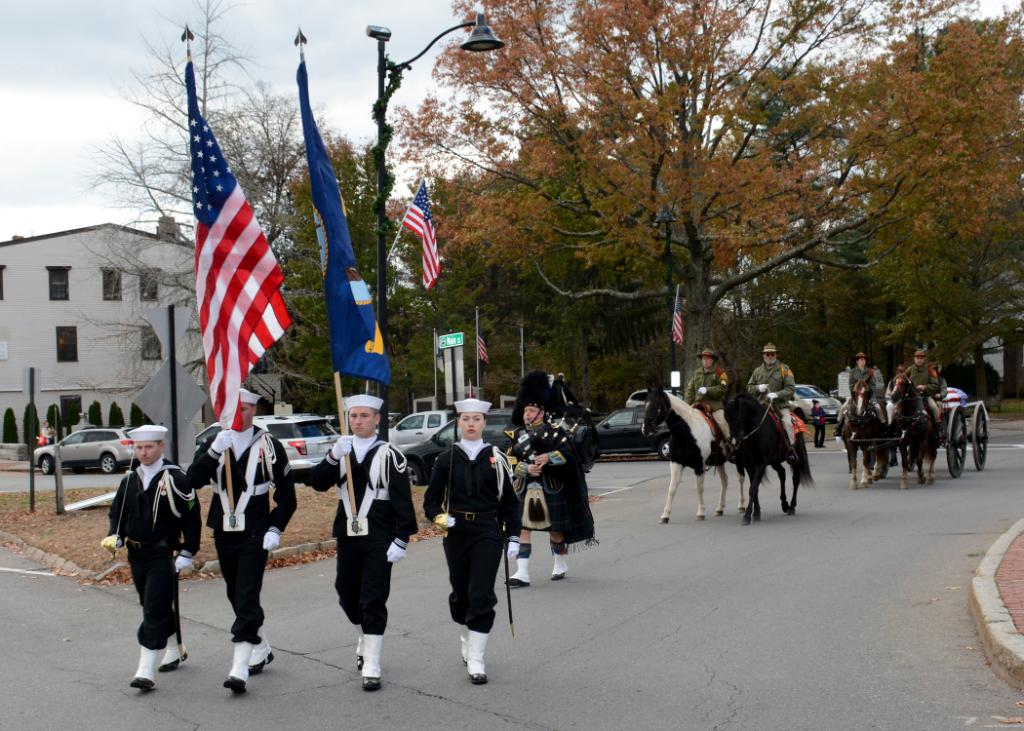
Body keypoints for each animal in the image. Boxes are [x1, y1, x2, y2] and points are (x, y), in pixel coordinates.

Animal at [638, 384, 745, 520]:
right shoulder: (675, 463)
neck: (686, 432)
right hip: (719, 461)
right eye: (645, 404)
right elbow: (672, 488)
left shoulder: (699, 465)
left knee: (740, 478)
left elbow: (699, 488)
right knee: (724, 481)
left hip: (739, 458)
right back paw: (720, 508)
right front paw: (665, 515)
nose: (645, 429)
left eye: (657, 405)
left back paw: (741, 505)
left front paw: (701, 512)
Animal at [724, 393, 811, 524]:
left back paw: (791, 506)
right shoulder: (749, 465)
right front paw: (756, 512)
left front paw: (747, 515)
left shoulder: (761, 464)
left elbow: (753, 488)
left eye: (738, 419)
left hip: (795, 459)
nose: (735, 443)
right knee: (782, 473)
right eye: (726, 420)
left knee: (795, 480)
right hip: (774, 461)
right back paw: (784, 504)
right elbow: (754, 488)